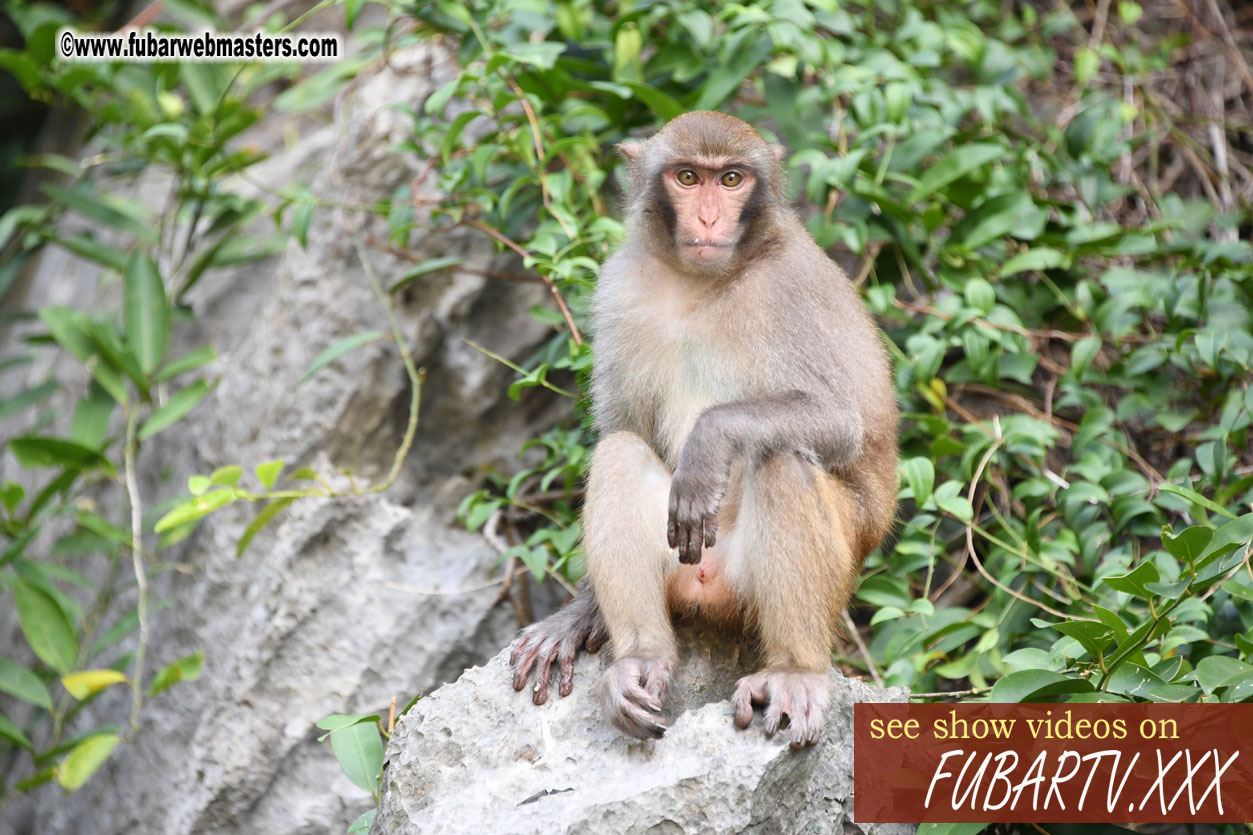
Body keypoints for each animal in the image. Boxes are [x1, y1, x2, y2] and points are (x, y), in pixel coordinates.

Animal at [511, 109, 902, 742]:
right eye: (689, 177)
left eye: (732, 179)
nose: (710, 217)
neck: (702, 282)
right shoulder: (621, 285)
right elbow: (625, 424)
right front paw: (580, 613)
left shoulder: (793, 288)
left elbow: (841, 422)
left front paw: (708, 444)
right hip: (679, 566)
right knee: (620, 451)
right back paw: (642, 658)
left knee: (783, 459)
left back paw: (794, 672)